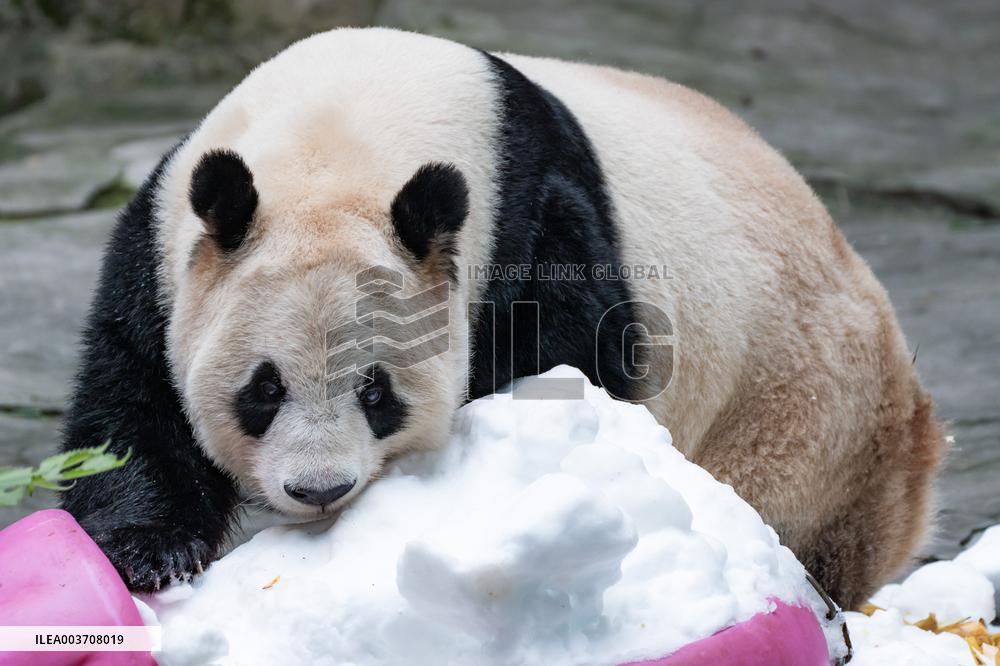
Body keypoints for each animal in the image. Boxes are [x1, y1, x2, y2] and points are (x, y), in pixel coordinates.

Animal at [61, 27, 944, 609]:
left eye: (377, 392)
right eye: (263, 389)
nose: (319, 488)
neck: (340, 135)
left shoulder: (536, 219)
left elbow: (571, 362)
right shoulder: (164, 242)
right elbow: (130, 401)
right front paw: (151, 554)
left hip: (805, 416)